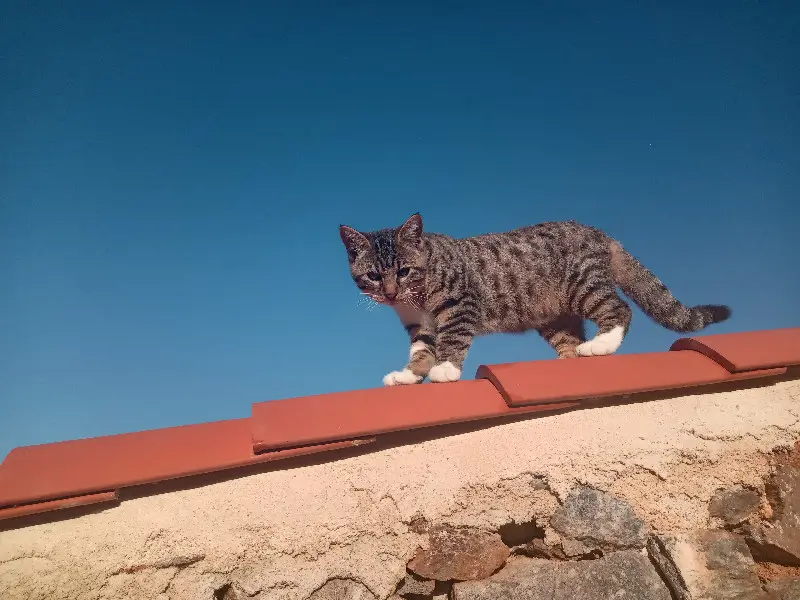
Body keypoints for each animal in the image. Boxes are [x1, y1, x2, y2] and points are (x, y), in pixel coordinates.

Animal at [338, 213, 732, 386]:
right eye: (374, 276)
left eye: (404, 271)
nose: (390, 292)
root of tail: (600, 232)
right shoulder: (419, 325)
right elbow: (421, 350)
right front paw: (410, 375)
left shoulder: (460, 305)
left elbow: (452, 339)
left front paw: (446, 369)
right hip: (553, 316)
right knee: (570, 340)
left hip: (582, 286)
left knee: (619, 309)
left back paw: (601, 345)